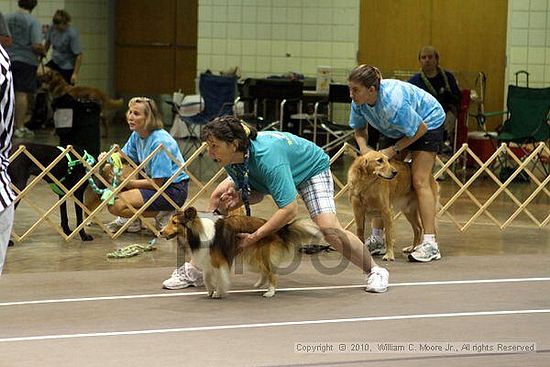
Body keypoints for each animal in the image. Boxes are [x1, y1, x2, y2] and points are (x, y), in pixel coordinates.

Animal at [160, 207, 316, 300]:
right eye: (170, 221)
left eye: (174, 222)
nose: (160, 232)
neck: (198, 231)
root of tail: (278, 228)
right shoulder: (208, 259)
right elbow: (206, 277)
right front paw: (210, 291)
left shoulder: (218, 261)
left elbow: (220, 278)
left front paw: (218, 293)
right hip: (253, 255)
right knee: (265, 271)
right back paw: (259, 284)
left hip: (262, 254)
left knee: (271, 273)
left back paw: (270, 292)